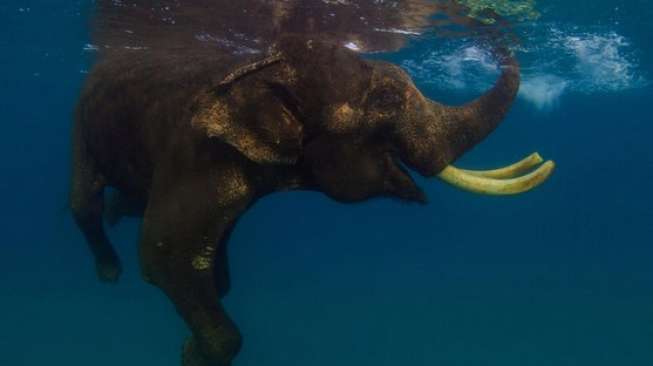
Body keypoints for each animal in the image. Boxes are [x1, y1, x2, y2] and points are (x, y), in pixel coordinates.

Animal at [72, 0, 556, 366]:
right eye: (385, 101)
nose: (493, 22)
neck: (258, 67)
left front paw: (196, 333)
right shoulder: (195, 153)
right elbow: (163, 254)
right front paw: (192, 355)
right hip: (81, 131)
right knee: (85, 203)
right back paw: (110, 271)